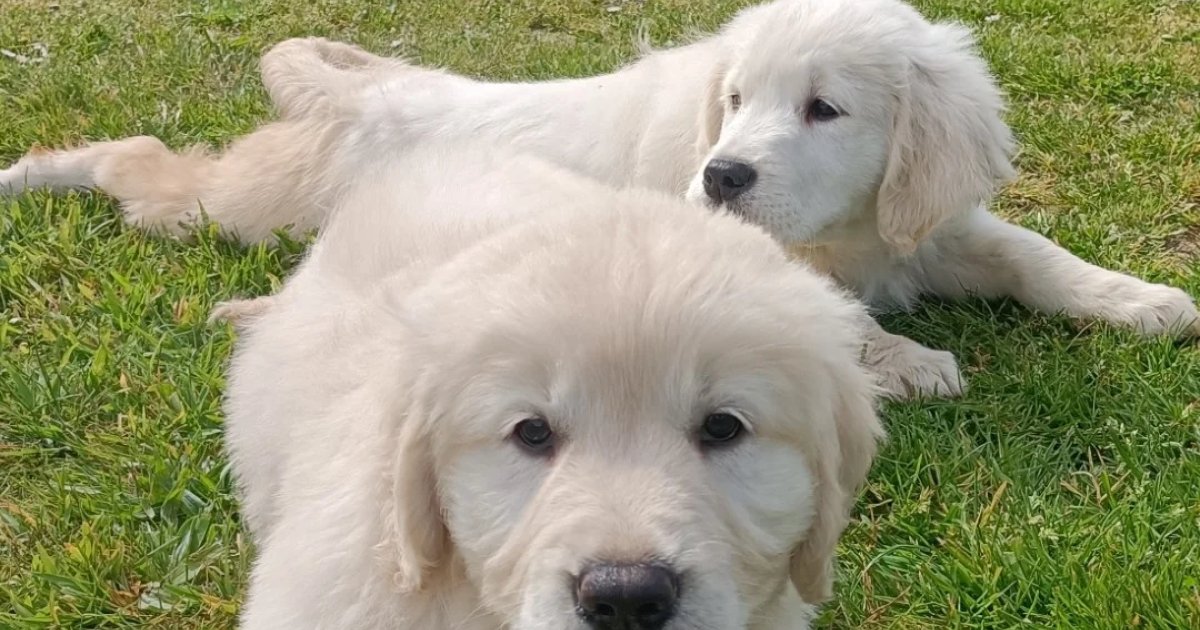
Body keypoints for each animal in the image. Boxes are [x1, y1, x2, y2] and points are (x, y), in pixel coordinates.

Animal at [3, 0, 1196, 400]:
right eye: (734, 101)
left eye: (825, 109)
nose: (722, 176)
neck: (845, 230)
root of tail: (367, 91)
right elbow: (831, 313)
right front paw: (906, 361)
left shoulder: (929, 226)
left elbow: (1033, 255)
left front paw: (1142, 300)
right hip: (244, 203)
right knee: (146, 164)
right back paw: (33, 173)